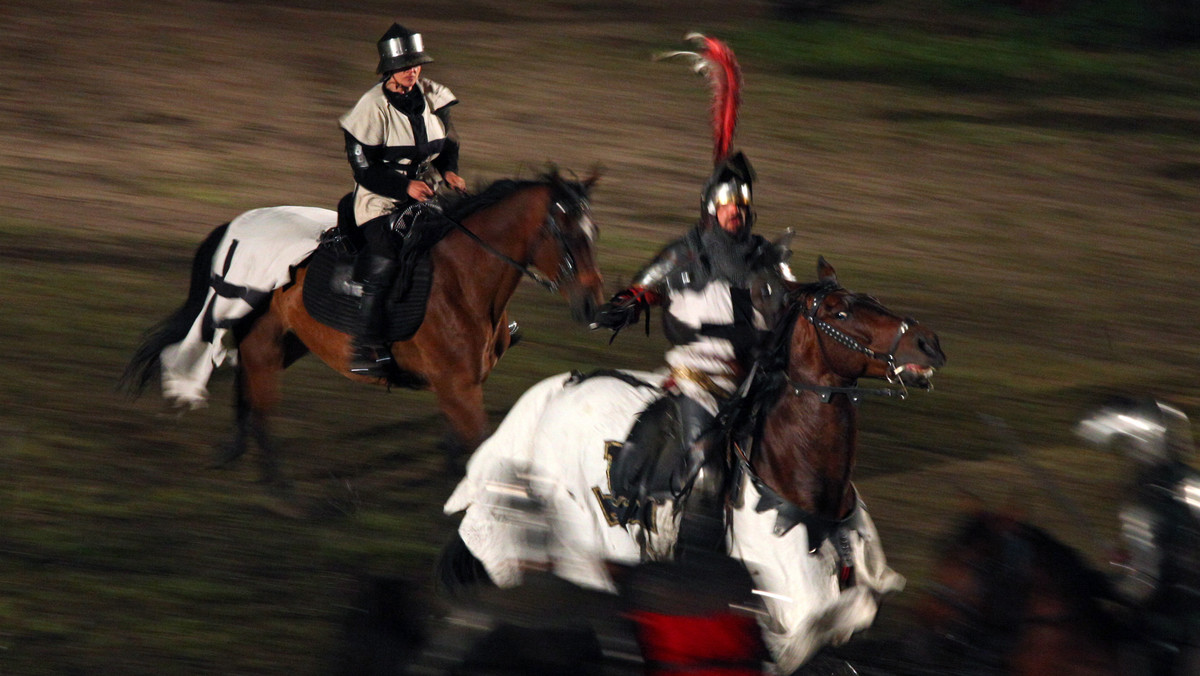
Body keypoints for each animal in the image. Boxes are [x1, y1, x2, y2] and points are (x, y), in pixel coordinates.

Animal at [126, 171, 604, 485]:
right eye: (567, 234)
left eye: (593, 232)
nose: (593, 306)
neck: (462, 280)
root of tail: (233, 226)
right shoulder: (458, 387)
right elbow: (474, 452)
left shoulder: (457, 388)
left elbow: (457, 455)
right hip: (261, 340)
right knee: (257, 404)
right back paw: (282, 493)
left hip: (284, 342)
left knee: (245, 391)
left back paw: (237, 456)